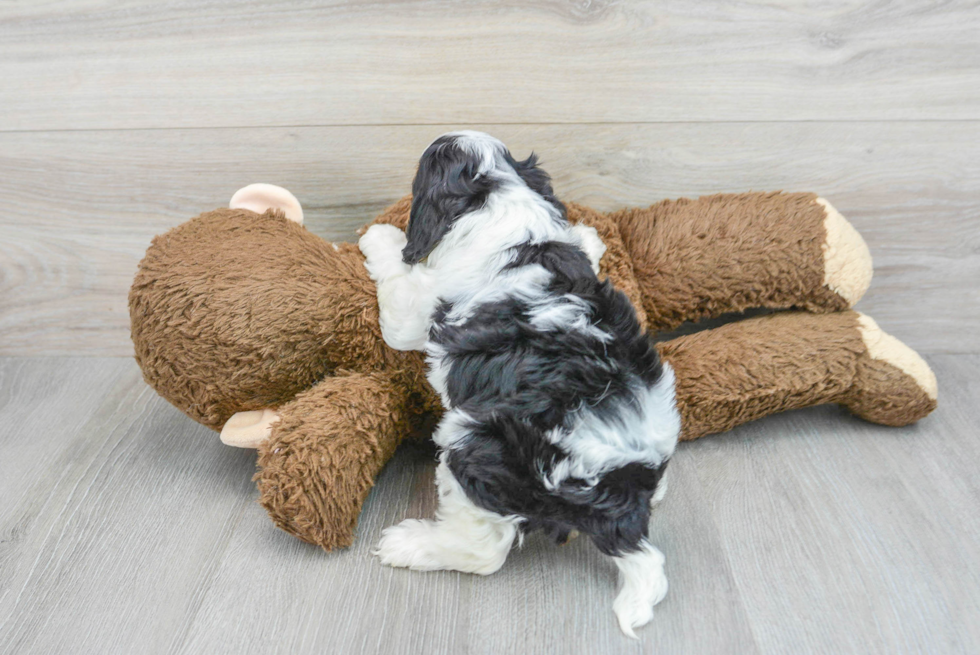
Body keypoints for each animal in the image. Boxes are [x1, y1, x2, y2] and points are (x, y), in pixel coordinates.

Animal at [360, 131, 680, 640]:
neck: (503, 202)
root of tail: (619, 495)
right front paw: (589, 237)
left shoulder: (418, 309)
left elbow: (399, 284)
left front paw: (380, 238)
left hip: (475, 448)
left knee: (485, 550)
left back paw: (411, 545)